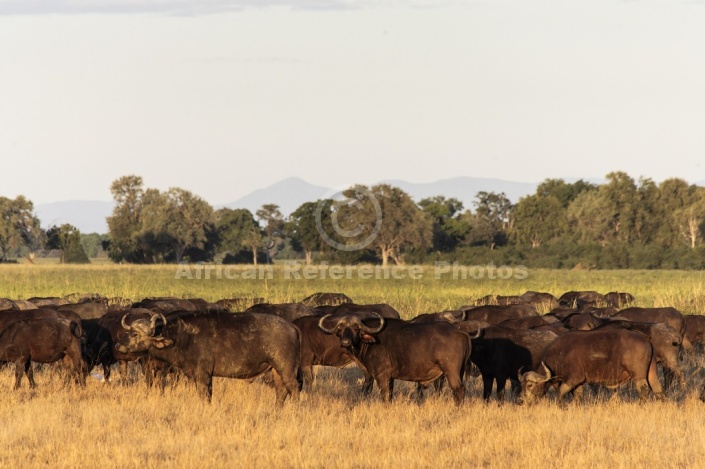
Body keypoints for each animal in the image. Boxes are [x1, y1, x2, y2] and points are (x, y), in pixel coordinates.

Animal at [115, 310, 300, 402]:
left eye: (135, 334)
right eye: (128, 332)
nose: (118, 346)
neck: (183, 337)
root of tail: (291, 327)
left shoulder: (203, 375)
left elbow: (205, 397)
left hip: (286, 368)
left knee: (294, 389)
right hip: (275, 370)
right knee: (281, 392)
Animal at [316, 310, 470, 402]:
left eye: (355, 328)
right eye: (340, 329)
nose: (345, 342)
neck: (370, 341)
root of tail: (458, 331)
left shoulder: (382, 375)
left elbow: (384, 396)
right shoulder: (390, 378)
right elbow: (390, 396)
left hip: (451, 371)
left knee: (459, 390)